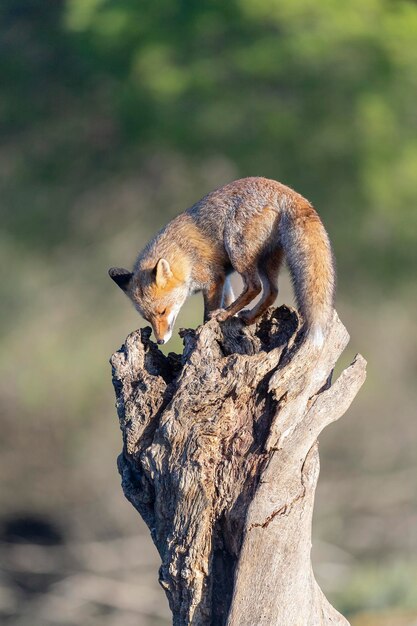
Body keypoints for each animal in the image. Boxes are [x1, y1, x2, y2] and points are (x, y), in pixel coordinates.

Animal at [108, 177, 334, 346]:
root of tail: (287, 191)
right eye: (147, 318)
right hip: (266, 262)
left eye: (162, 311)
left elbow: (207, 313)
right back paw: (248, 317)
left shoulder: (213, 279)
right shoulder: (224, 280)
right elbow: (229, 297)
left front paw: (205, 327)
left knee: (254, 286)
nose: (161, 341)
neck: (185, 255)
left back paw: (225, 315)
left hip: (237, 251)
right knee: (272, 291)